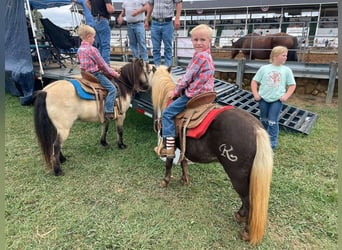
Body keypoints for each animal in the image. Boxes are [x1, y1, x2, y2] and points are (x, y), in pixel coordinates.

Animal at [148, 65, 274, 245]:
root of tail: (256, 129)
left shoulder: (168, 141)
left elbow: (169, 162)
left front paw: (165, 181)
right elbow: (184, 162)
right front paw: (184, 180)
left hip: (237, 175)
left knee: (249, 200)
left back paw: (246, 231)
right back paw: (239, 216)